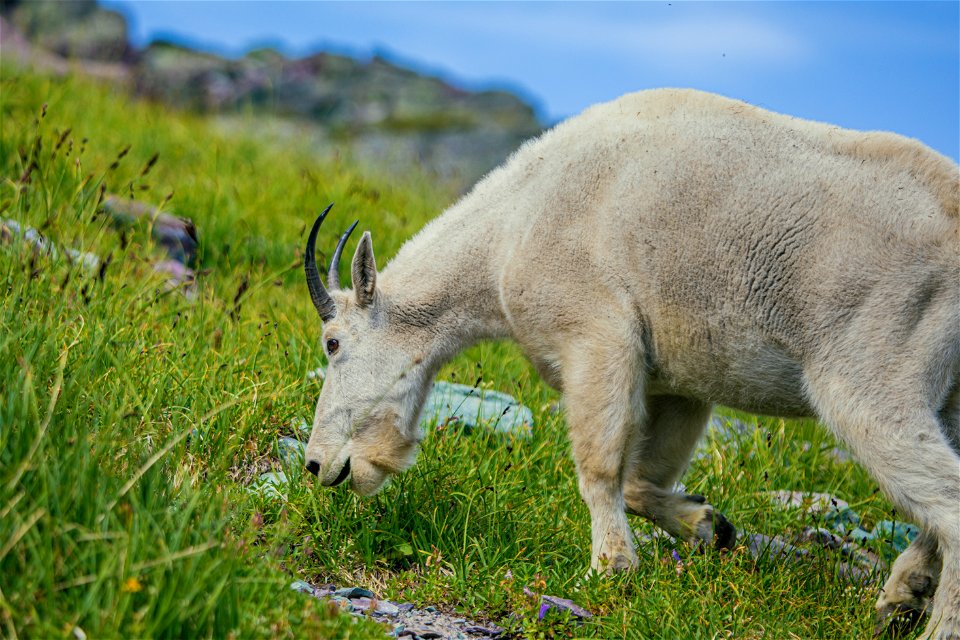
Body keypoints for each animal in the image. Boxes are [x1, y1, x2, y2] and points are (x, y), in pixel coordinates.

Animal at [302, 87, 960, 636]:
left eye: (333, 343)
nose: (317, 465)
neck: (510, 230)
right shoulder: (680, 380)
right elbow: (644, 479)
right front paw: (710, 527)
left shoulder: (596, 338)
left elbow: (599, 464)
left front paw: (609, 567)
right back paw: (901, 595)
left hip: (871, 374)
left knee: (947, 499)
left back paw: (933, 623)